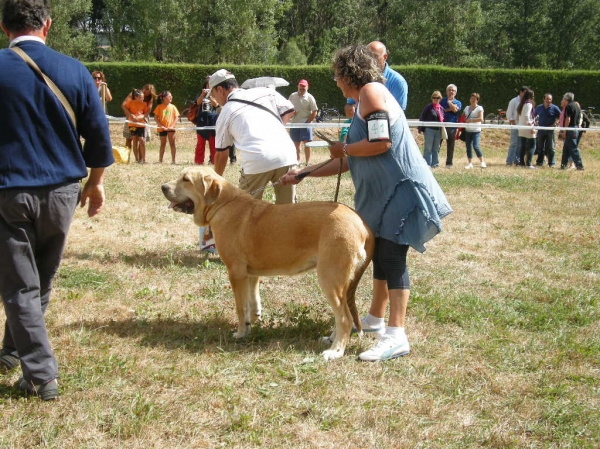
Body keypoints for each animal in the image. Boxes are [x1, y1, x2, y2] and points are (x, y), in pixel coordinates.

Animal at [162, 166, 372, 358]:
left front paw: (240, 333)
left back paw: (335, 351)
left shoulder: (236, 272)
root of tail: (362, 224)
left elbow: (241, 307)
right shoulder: (250, 274)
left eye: (186, 179)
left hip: (330, 279)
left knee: (345, 318)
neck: (223, 204)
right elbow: (252, 303)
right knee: (343, 315)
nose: (163, 187)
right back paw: (331, 339)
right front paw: (251, 325)